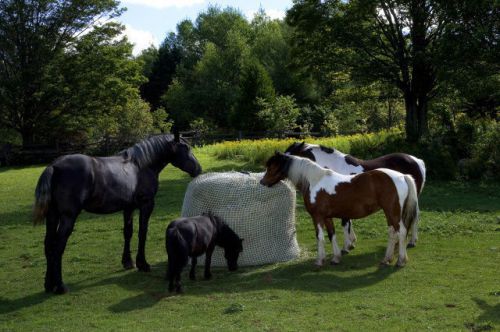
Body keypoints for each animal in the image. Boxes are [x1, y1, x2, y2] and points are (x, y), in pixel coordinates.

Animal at [33, 134, 202, 294]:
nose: (198, 169)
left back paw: (49, 284)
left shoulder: (128, 208)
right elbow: (142, 232)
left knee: (48, 245)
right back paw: (60, 286)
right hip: (68, 217)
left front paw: (128, 262)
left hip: (52, 216)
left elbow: (128, 233)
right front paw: (143, 264)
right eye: (186, 148)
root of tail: (54, 166)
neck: (140, 166)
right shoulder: (146, 205)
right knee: (58, 247)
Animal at [260, 152, 420, 268]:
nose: (262, 182)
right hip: (389, 213)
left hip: (393, 212)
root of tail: (402, 176)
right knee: (393, 233)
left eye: (271, 167)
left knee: (401, 232)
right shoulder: (327, 217)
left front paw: (319, 261)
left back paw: (400, 261)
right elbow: (332, 235)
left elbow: (320, 237)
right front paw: (336, 258)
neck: (314, 180)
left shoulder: (317, 217)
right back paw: (386, 259)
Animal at [286, 142, 426, 252]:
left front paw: (346, 247)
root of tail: (417, 161)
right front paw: (352, 242)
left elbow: (345, 223)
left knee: (414, 216)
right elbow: (348, 222)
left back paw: (411, 241)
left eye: (289, 158)